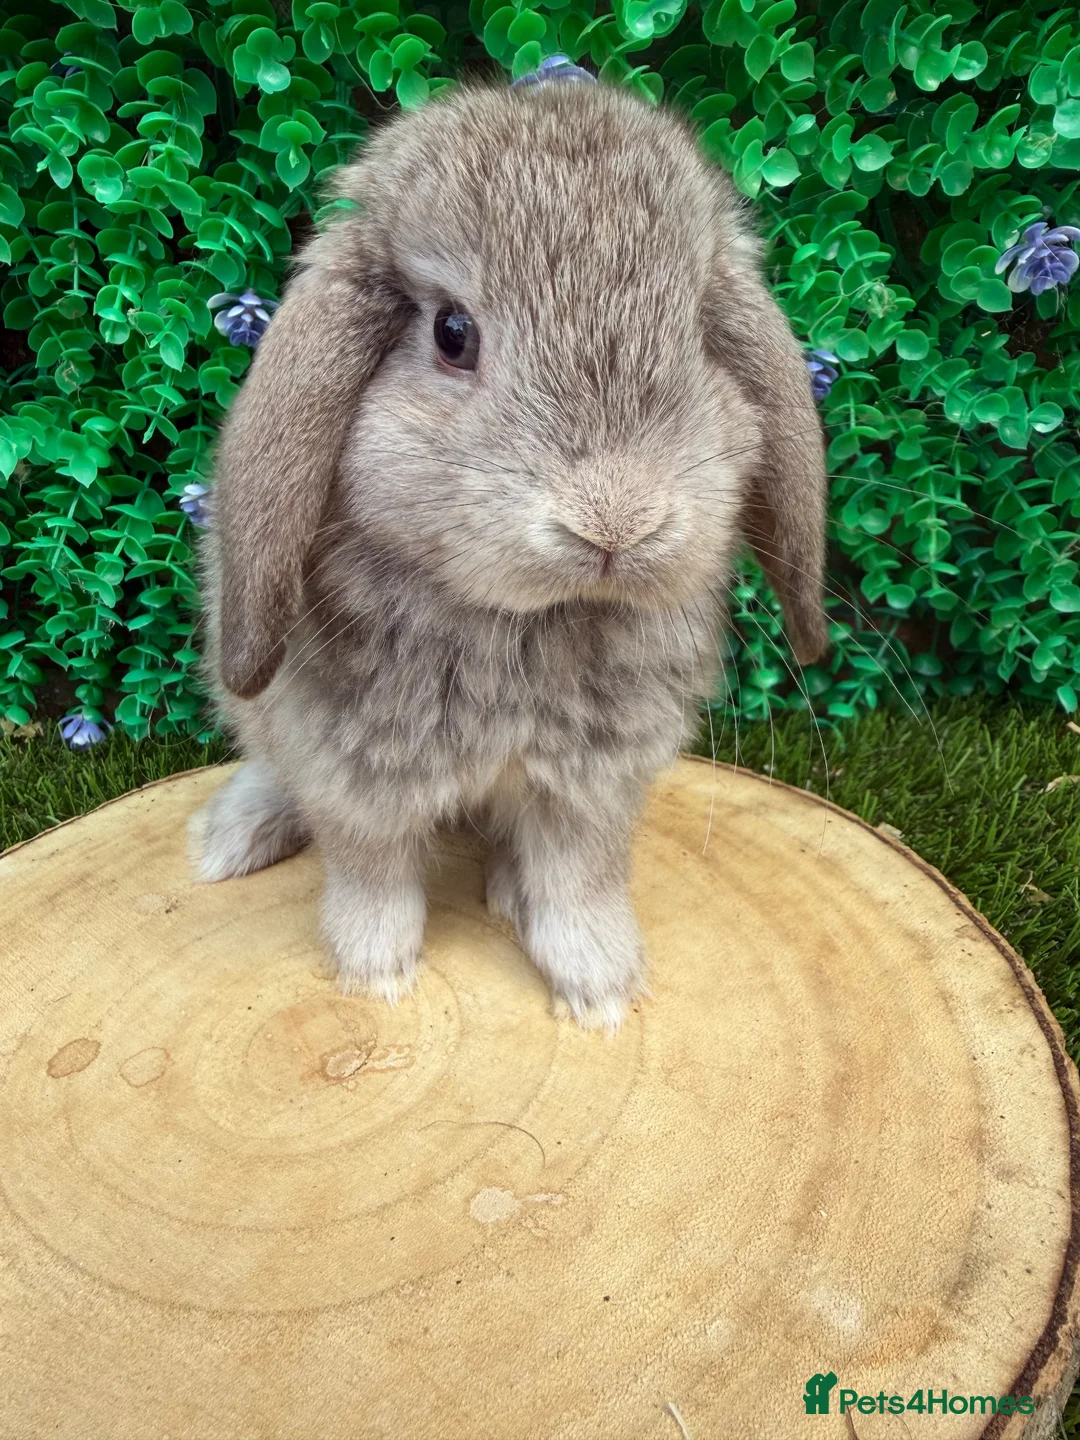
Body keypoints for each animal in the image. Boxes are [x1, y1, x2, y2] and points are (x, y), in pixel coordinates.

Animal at [190, 67, 828, 1034]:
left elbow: (578, 881)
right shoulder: (354, 773)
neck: (520, 624)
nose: (615, 521)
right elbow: (372, 874)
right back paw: (230, 840)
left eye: (694, 334)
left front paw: (600, 991)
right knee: (270, 768)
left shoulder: (591, 784)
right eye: (452, 332)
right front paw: (375, 976)